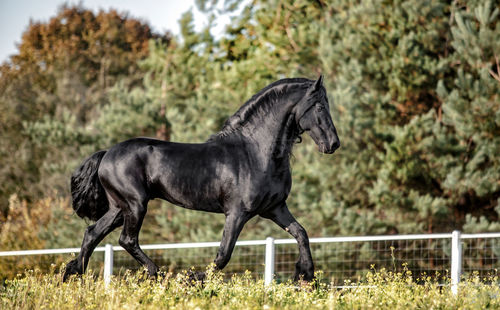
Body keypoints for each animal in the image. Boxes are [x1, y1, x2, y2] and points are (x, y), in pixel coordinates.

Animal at [63, 75, 340, 284]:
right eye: (319, 106)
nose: (333, 144)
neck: (255, 151)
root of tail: (106, 153)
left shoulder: (274, 208)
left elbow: (301, 233)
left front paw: (305, 276)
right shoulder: (237, 212)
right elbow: (223, 254)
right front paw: (193, 279)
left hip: (119, 208)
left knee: (92, 234)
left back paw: (74, 276)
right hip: (135, 205)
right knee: (126, 240)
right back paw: (157, 275)